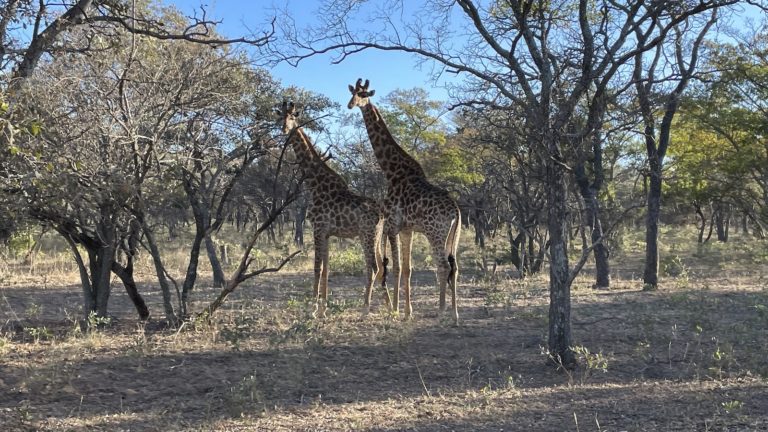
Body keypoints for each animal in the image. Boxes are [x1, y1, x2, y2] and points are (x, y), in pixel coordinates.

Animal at [278, 101, 392, 318]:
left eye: (292, 117)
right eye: (281, 117)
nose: (285, 129)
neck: (315, 183)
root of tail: (382, 214)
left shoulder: (318, 228)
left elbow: (316, 267)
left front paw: (312, 309)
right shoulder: (327, 233)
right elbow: (326, 269)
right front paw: (323, 308)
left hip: (367, 234)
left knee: (373, 267)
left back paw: (365, 308)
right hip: (377, 236)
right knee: (381, 267)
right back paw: (390, 306)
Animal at [348, 79, 462, 326]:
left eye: (364, 94)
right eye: (353, 93)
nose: (351, 104)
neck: (391, 171)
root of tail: (456, 212)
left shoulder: (392, 225)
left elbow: (397, 267)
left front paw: (395, 310)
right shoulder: (407, 229)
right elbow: (408, 268)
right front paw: (408, 311)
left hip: (435, 232)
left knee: (443, 266)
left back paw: (441, 312)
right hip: (454, 236)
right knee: (455, 267)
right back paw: (456, 314)